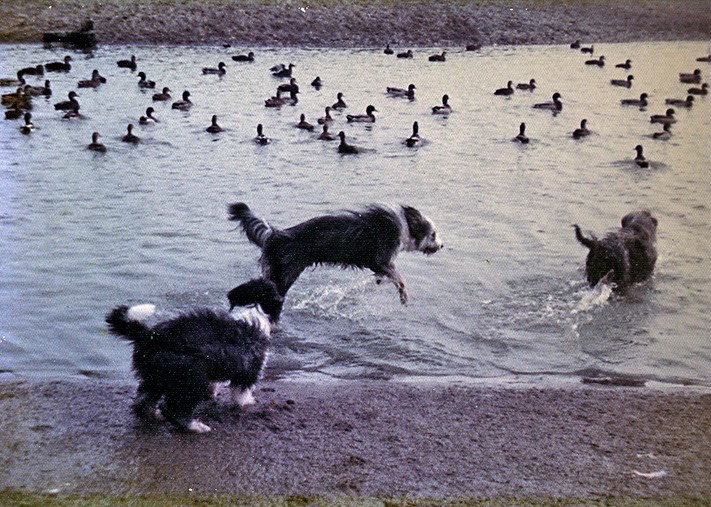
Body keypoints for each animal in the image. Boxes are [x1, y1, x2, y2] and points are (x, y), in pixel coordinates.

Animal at [105, 280, 284, 434]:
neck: (254, 309)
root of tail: (148, 335)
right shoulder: (249, 368)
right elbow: (242, 392)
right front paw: (247, 403)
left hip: (155, 376)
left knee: (142, 401)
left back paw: (153, 415)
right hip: (192, 376)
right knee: (172, 409)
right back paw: (195, 426)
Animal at [228, 203, 442, 314]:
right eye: (433, 234)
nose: (441, 246)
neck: (404, 227)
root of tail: (274, 235)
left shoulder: (381, 264)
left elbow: (390, 274)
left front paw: (381, 281)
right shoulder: (379, 259)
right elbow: (399, 278)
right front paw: (404, 297)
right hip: (285, 274)